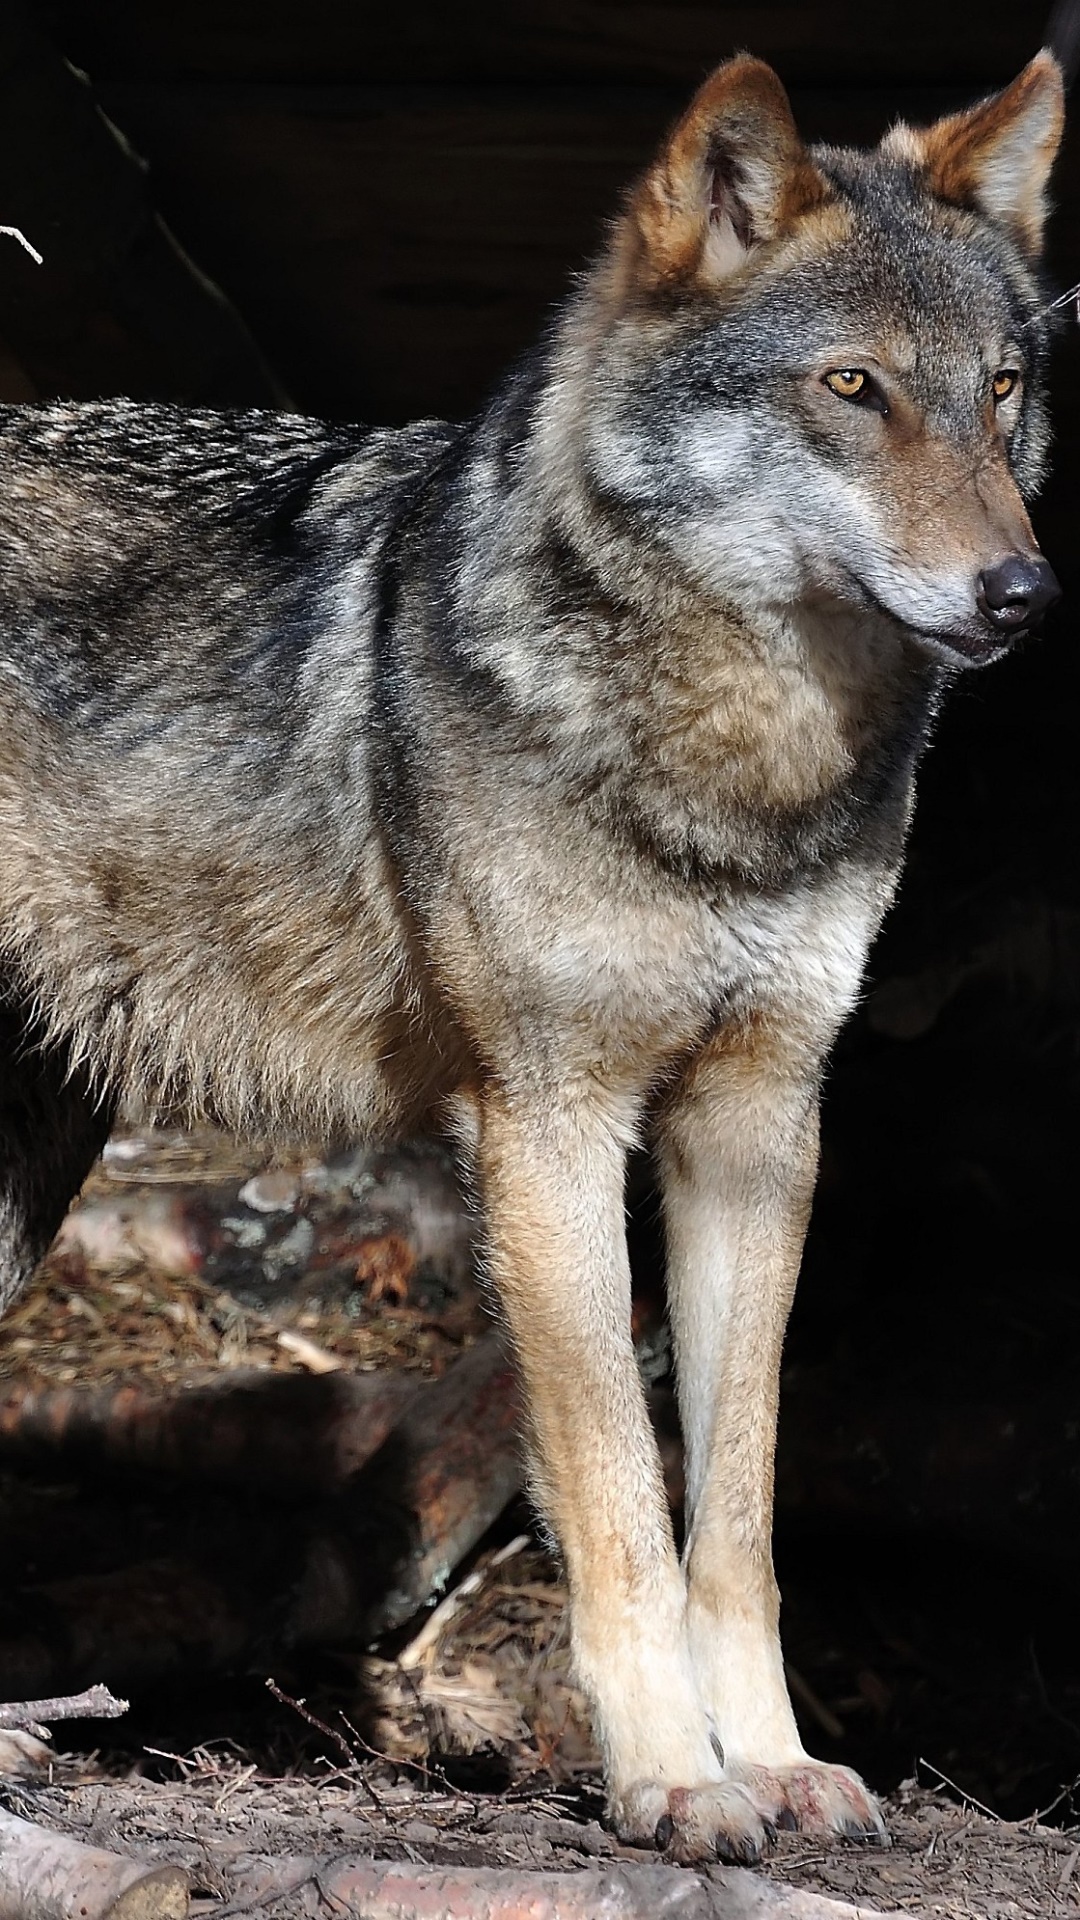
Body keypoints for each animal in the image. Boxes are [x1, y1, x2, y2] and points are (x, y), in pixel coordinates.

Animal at [0, 49, 1064, 1862]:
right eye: (852, 389)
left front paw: (773, 1762)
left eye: (1000, 395)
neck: (734, 779)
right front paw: (672, 1780)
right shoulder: (549, 1125)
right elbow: (623, 1499)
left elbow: (739, 1513)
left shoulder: (760, 1124)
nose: (1021, 592)